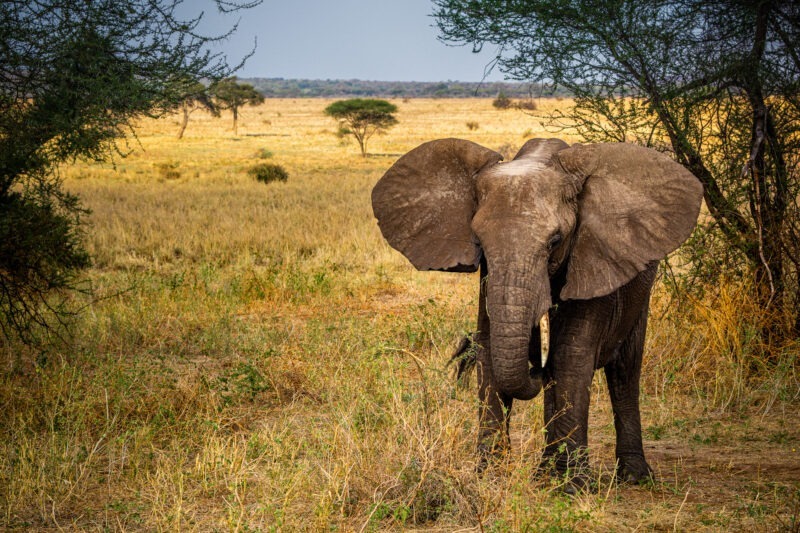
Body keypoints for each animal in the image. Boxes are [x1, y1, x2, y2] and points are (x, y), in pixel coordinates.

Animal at [372, 138, 704, 490]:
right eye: (479, 242)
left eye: (555, 241)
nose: (534, 365)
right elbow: (489, 347)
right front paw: (490, 477)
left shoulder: (592, 258)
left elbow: (571, 354)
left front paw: (573, 487)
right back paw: (545, 473)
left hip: (640, 292)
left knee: (624, 371)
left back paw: (633, 477)